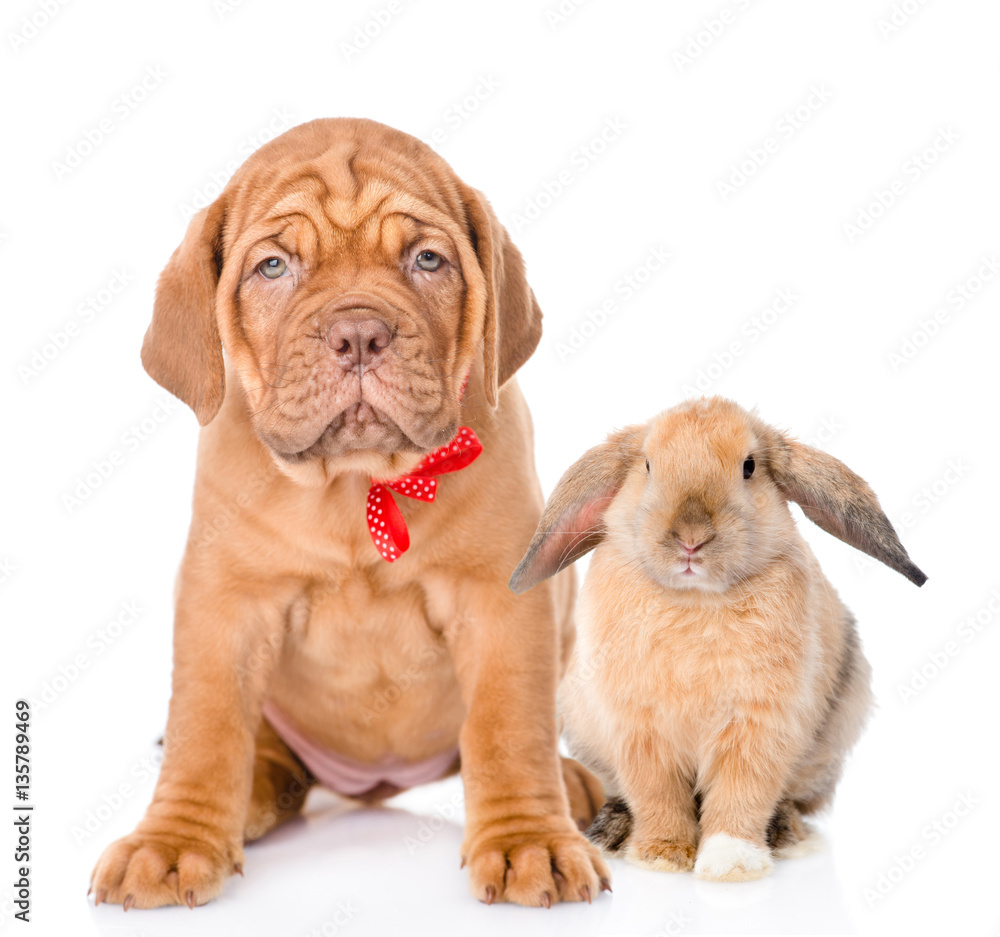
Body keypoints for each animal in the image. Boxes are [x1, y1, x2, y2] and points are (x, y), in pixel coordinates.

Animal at [90, 117, 608, 908]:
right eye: (273, 267)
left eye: (427, 259)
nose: (360, 333)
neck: (356, 484)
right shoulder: (223, 602)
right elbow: (204, 730)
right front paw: (174, 840)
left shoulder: (501, 600)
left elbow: (508, 727)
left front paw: (529, 840)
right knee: (263, 754)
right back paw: (255, 794)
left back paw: (572, 785)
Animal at [512, 398, 924, 880]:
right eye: (648, 465)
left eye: (749, 467)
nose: (691, 538)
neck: (696, 598)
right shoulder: (639, 730)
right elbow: (657, 795)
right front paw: (663, 855)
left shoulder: (758, 725)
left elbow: (741, 792)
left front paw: (731, 863)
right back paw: (613, 830)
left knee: (793, 801)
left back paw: (783, 835)